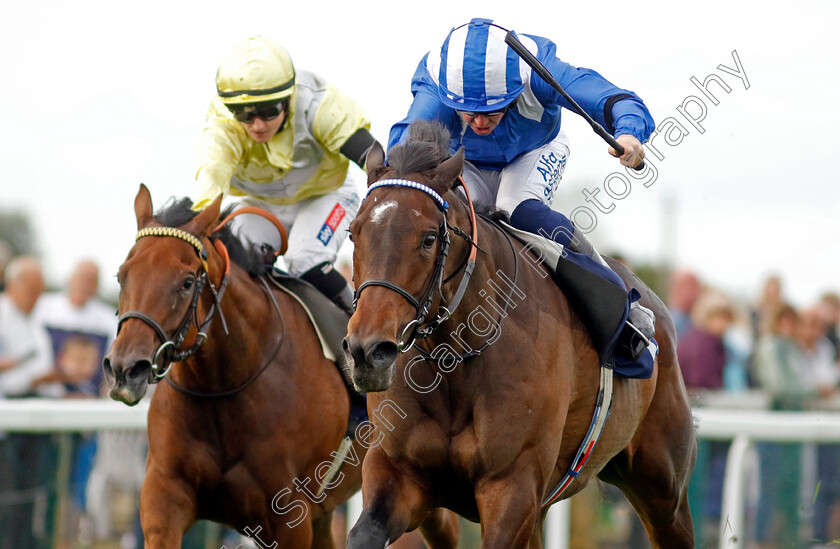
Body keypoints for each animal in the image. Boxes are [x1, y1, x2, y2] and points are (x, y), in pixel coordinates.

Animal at [104, 185, 460, 548]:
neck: (222, 387)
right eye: (121, 275)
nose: (125, 369)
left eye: (187, 282)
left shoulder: (288, 517)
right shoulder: (163, 498)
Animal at [342, 121, 696, 548]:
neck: (457, 359)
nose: (367, 351)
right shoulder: (398, 471)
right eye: (353, 233)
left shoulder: (514, 483)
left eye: (428, 238)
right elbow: (364, 533)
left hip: (663, 489)